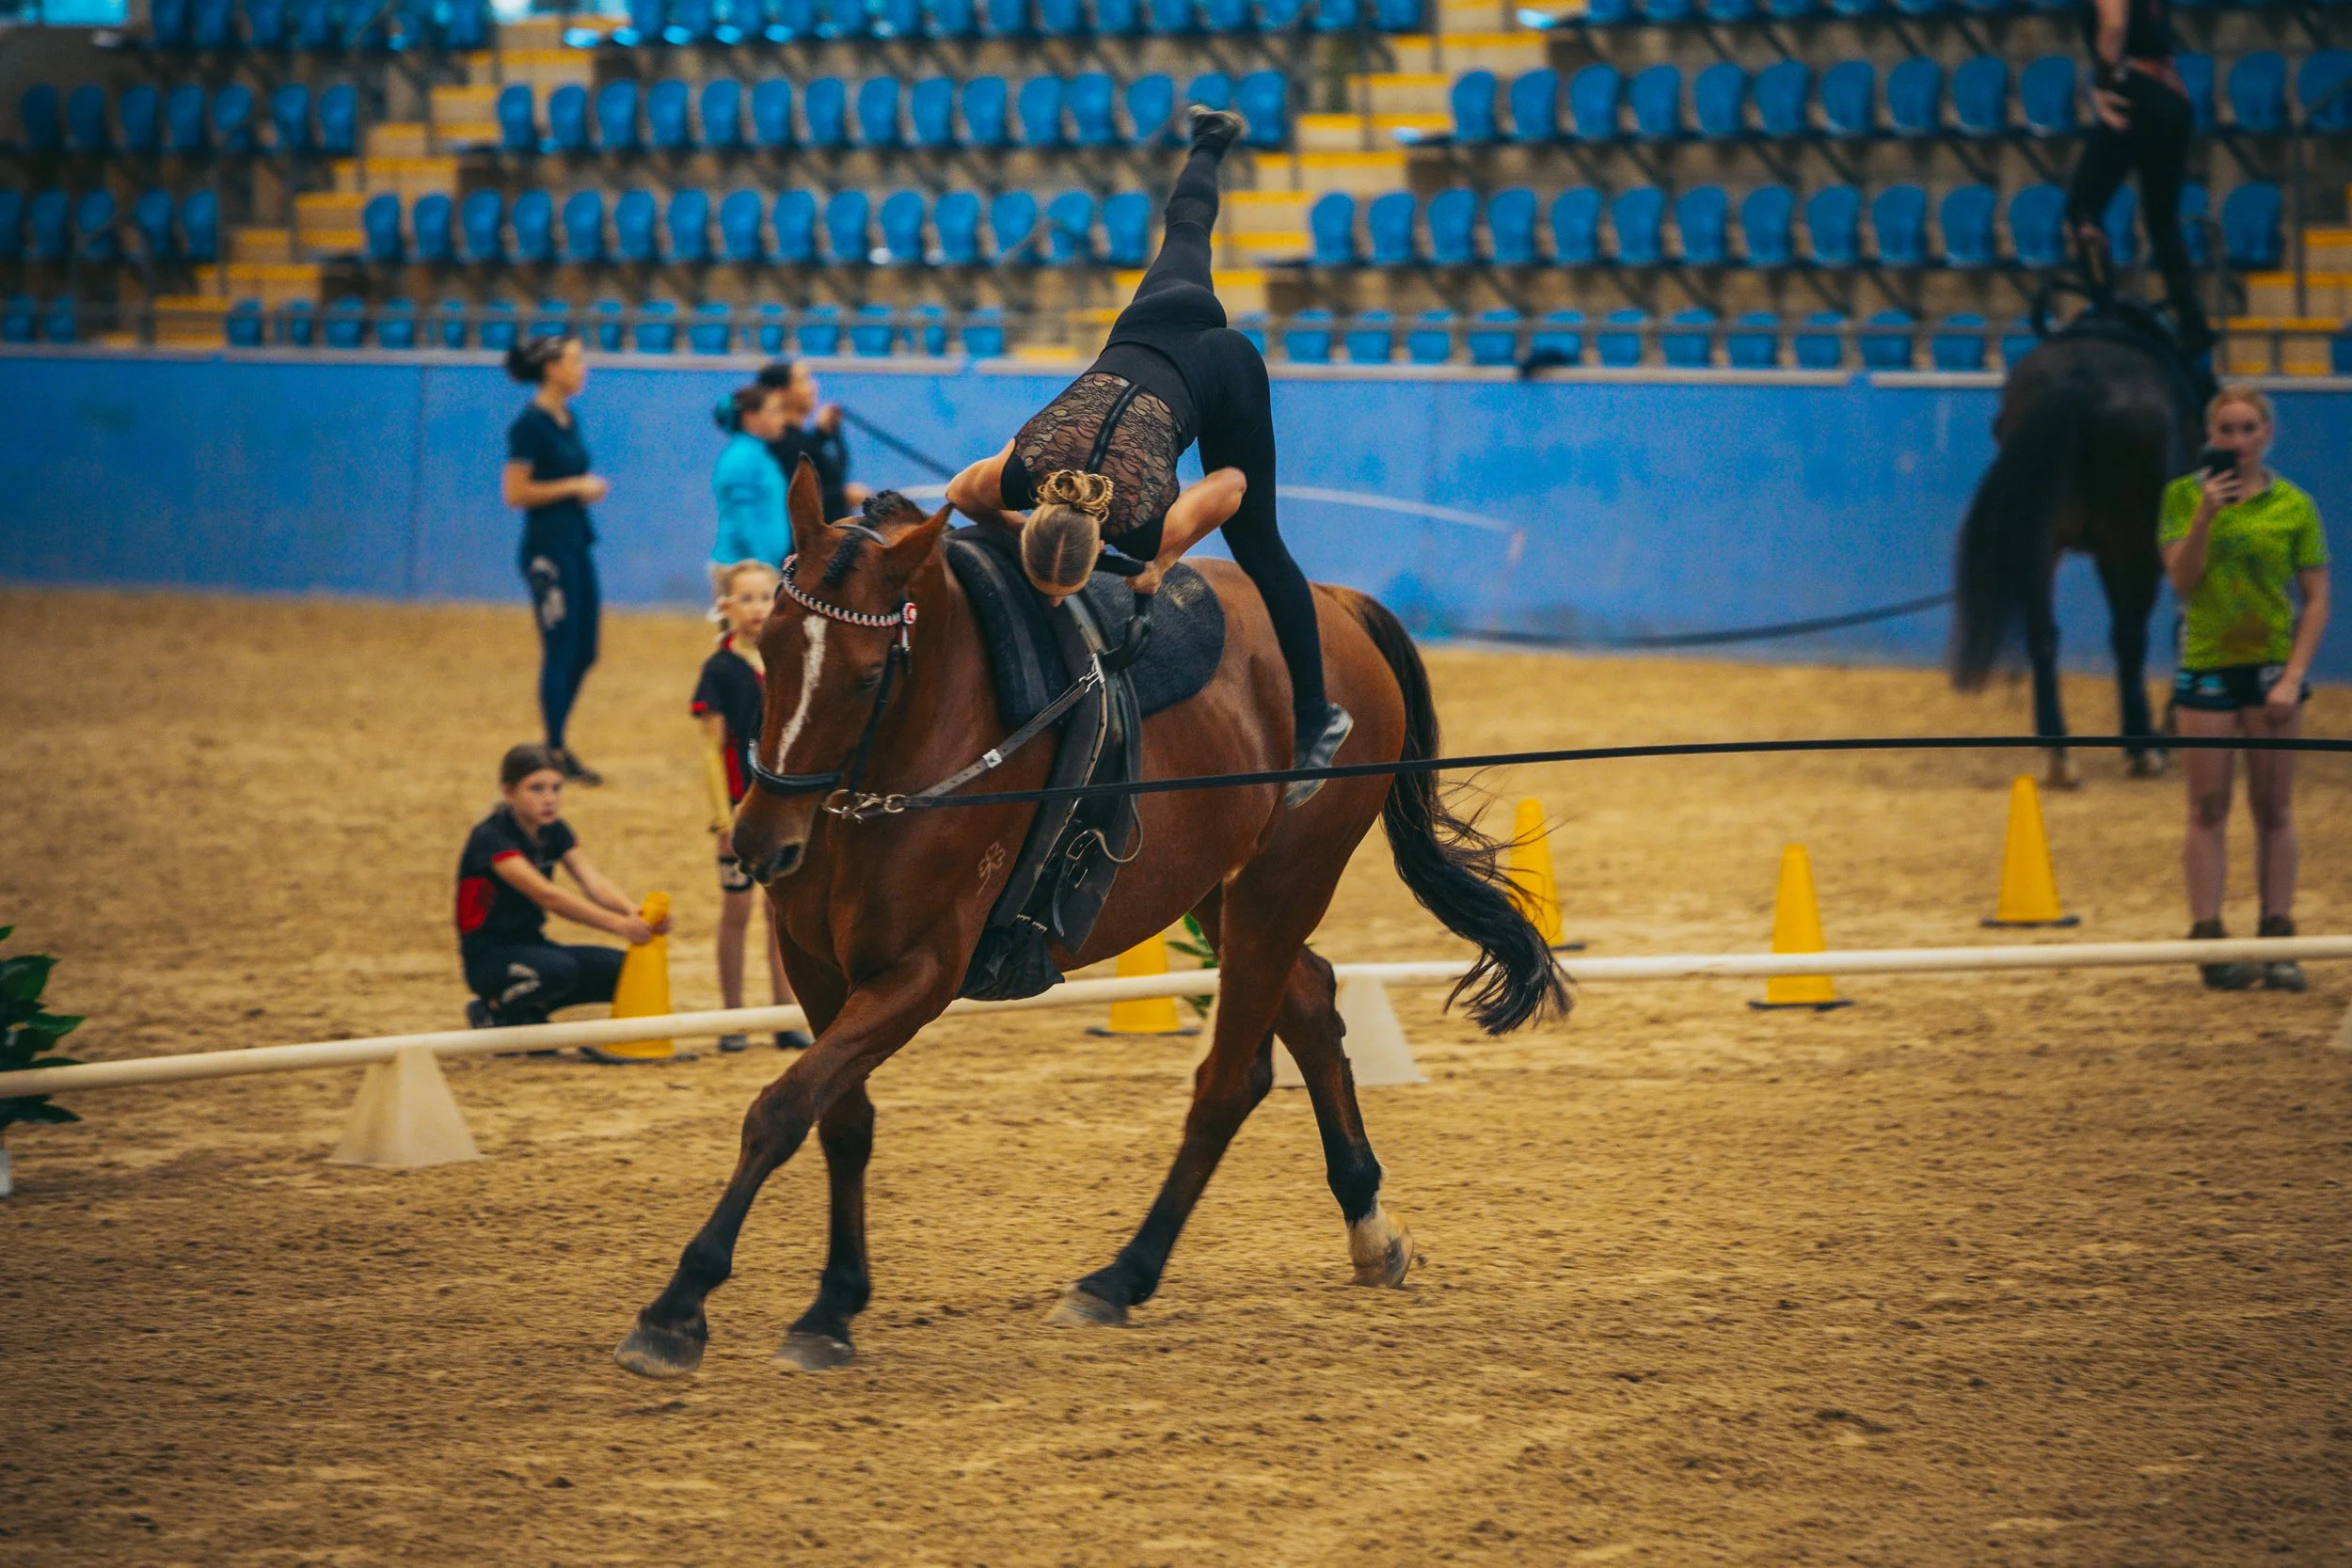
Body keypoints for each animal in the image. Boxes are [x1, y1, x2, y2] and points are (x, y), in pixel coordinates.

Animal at [615, 465, 1566, 1378]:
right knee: (1308, 1005)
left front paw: (677, 1309)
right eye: (769, 645)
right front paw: (833, 1307)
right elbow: (838, 1117)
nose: (760, 842)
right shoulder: (816, 963)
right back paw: (1370, 1227)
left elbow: (781, 1108)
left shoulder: (919, 974)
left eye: (867, 673)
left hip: (1282, 883)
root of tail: (1334, 604)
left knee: (1228, 1080)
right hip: (1217, 888)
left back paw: (1122, 1276)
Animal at [1948, 303, 2204, 786]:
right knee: (2128, 635)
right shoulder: (2123, 550)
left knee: (2043, 635)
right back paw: (2140, 749)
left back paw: (2059, 753)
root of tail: (2080, 377)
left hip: (2041, 541)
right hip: (2134, 541)